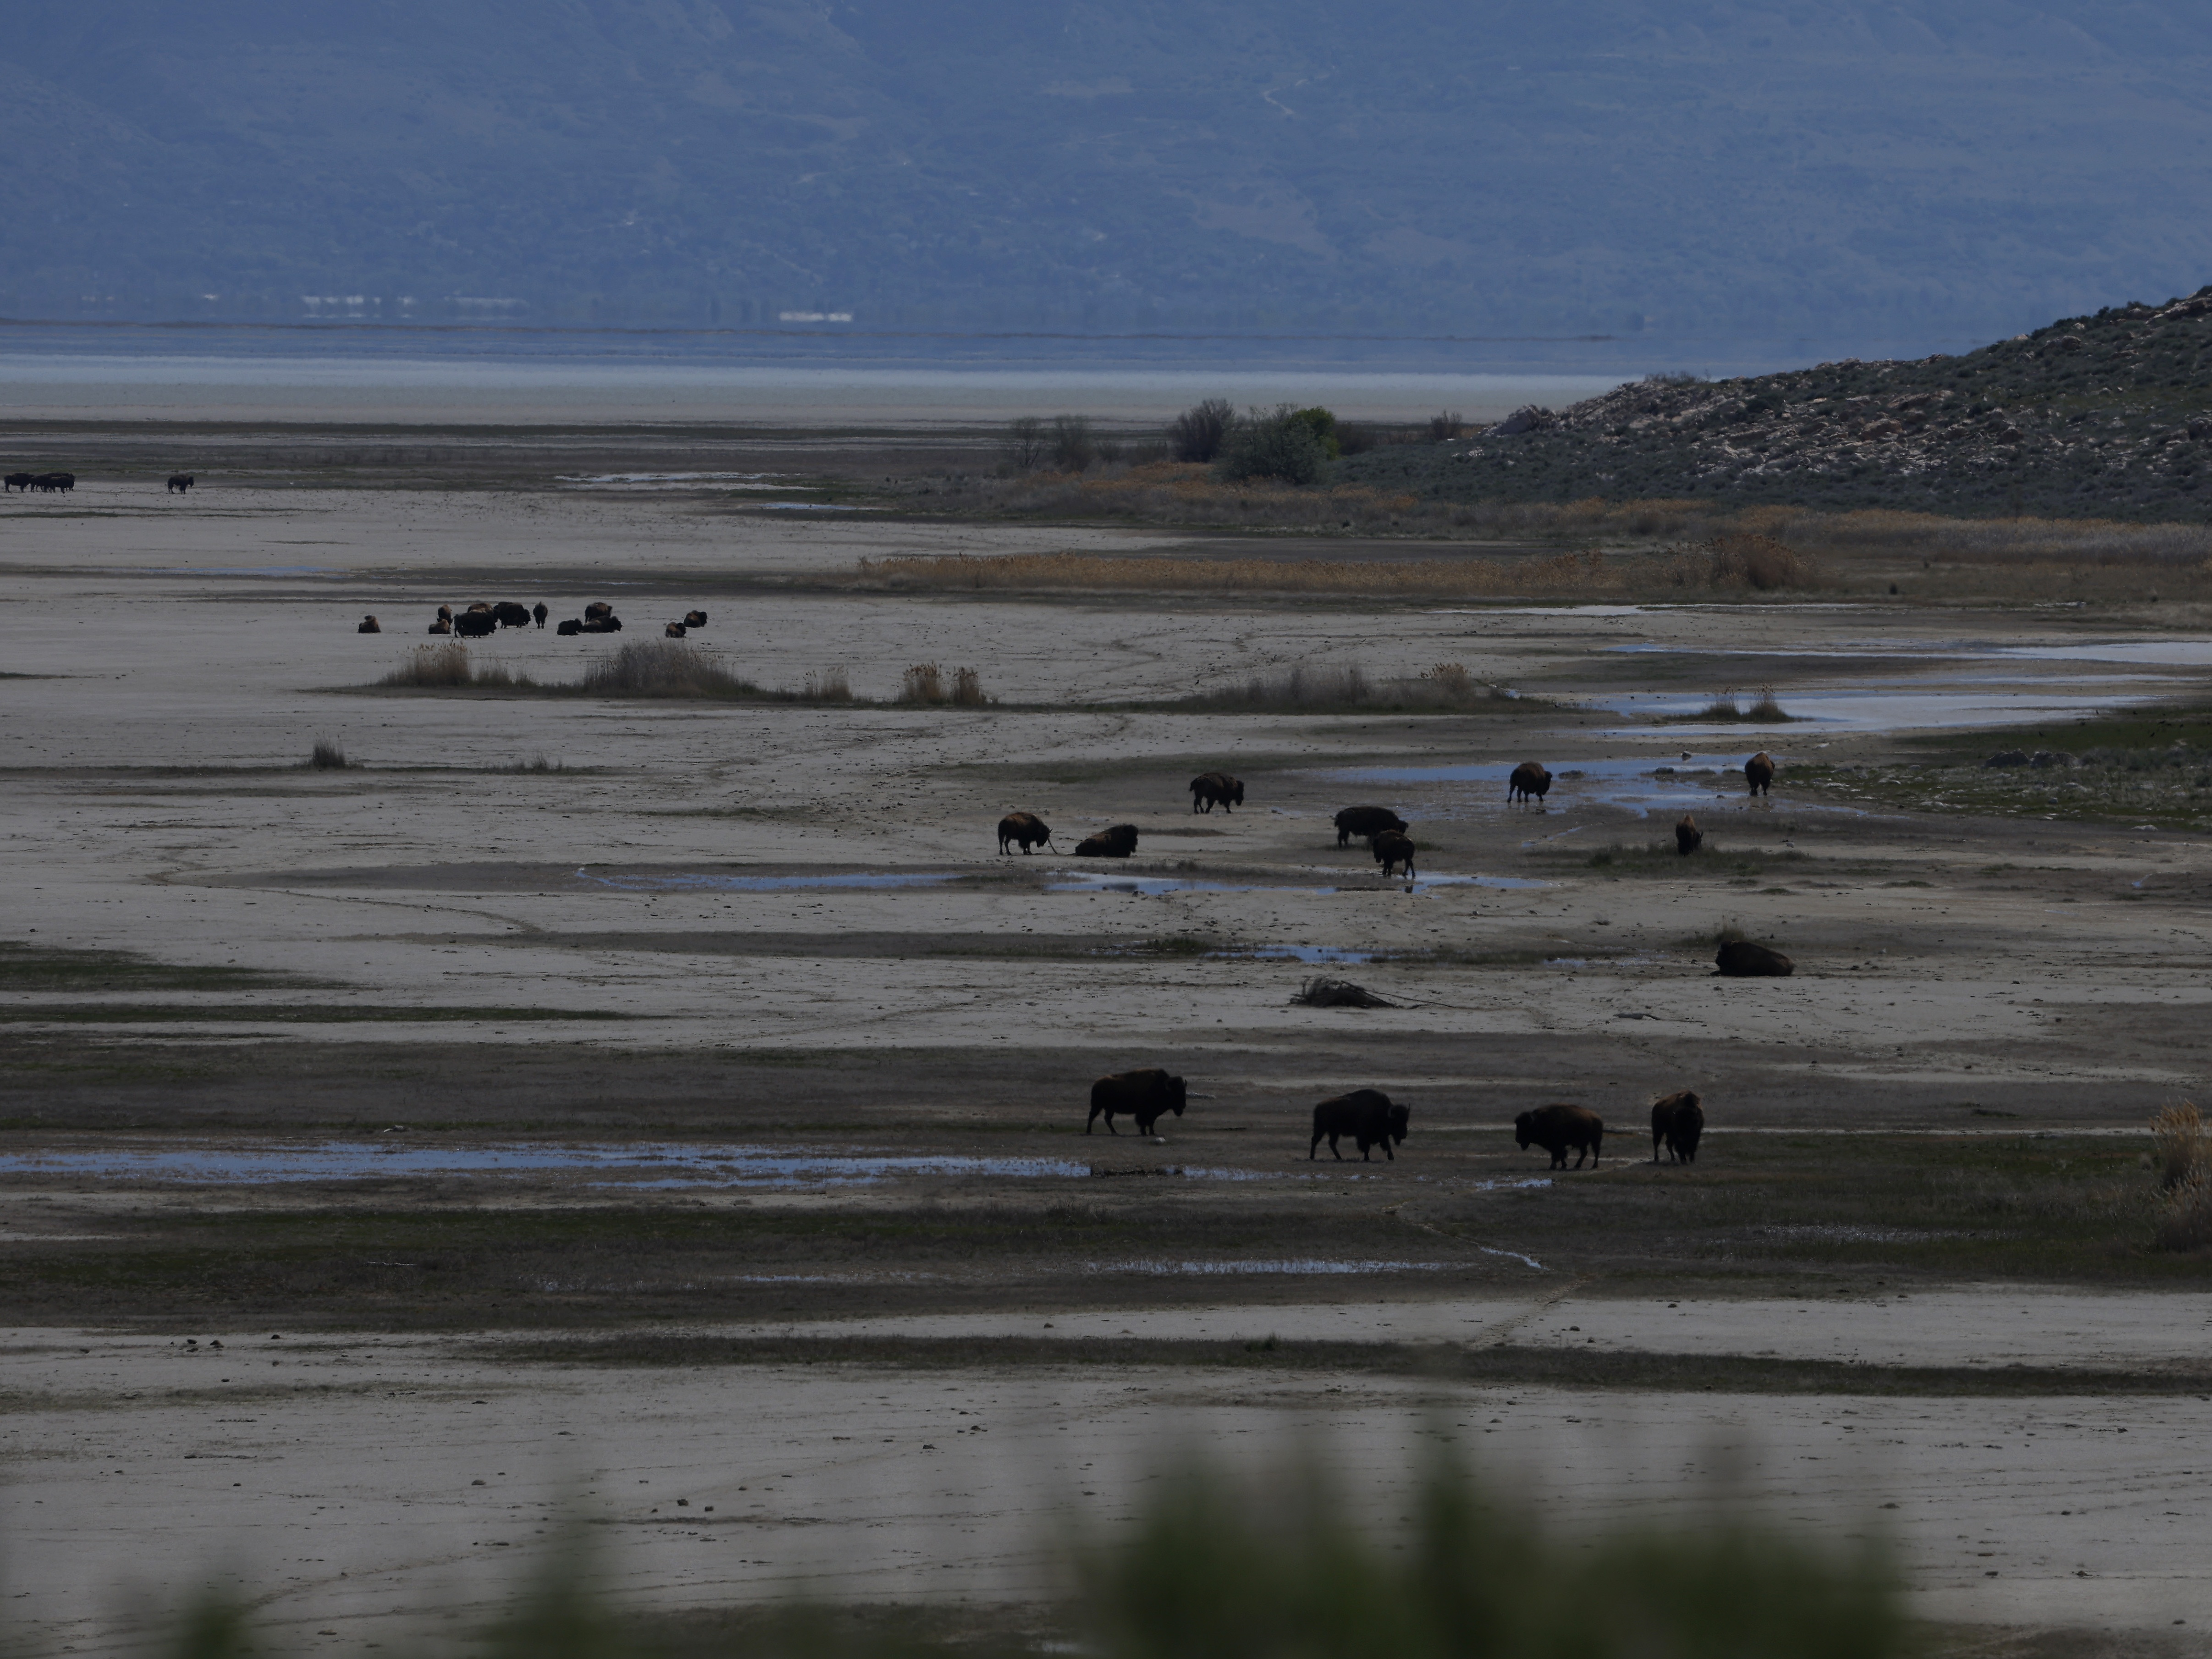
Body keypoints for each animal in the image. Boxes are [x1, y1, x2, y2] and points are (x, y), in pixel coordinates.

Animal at [1086, 1068, 1186, 1135]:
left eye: (1184, 1091)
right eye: (1175, 1094)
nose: (1183, 1106)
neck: (1161, 1087)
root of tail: (1096, 1084)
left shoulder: (1153, 1114)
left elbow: (1151, 1123)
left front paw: (1152, 1133)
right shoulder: (1144, 1113)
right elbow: (1144, 1122)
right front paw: (1144, 1133)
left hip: (1109, 1109)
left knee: (1107, 1119)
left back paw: (1115, 1132)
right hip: (1097, 1106)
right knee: (1092, 1116)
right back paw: (1089, 1131)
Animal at [1309, 1089, 1410, 1162]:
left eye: (1406, 1121)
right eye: (1397, 1122)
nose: (1404, 1135)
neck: (1383, 1113)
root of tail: (1318, 1107)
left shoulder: (1382, 1136)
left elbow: (1387, 1146)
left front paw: (1391, 1158)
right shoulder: (1364, 1136)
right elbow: (1367, 1147)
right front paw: (1367, 1159)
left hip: (1333, 1132)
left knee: (1330, 1143)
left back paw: (1339, 1158)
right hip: (1322, 1129)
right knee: (1316, 1140)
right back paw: (1312, 1157)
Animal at [1334, 805, 1407, 847]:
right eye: (1399, 829)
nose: (1399, 836)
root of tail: (1341, 813)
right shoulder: (1374, 832)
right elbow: (1372, 838)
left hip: (1346, 830)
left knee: (1344, 837)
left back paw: (1346, 846)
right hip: (1345, 830)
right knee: (1342, 837)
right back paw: (1343, 846)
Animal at [1516, 1102, 1603, 1169]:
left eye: (1525, 1128)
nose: (1518, 1140)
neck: (1540, 1121)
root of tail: (1598, 1117)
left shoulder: (1557, 1145)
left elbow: (1557, 1155)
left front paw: (1553, 1167)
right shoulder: (1556, 1146)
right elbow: (1560, 1155)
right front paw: (1563, 1166)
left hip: (1595, 1141)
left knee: (1596, 1152)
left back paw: (1594, 1166)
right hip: (1583, 1143)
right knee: (1584, 1153)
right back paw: (1577, 1166)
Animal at [1650, 1090, 1704, 1164]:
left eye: (1693, 1121)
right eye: (1678, 1123)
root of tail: (1656, 1106)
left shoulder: (1696, 1134)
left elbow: (1693, 1146)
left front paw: (1692, 1160)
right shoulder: (1677, 1136)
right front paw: (1684, 1159)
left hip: (1668, 1134)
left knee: (1668, 1144)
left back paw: (1673, 1158)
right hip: (1658, 1131)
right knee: (1656, 1143)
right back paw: (1657, 1159)